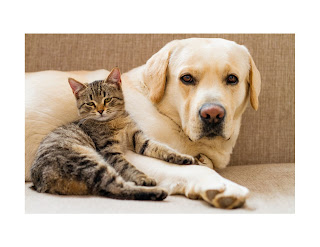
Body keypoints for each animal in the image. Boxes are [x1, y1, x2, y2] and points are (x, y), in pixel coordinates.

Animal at [31, 67, 198, 201]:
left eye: (107, 99)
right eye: (90, 103)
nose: (100, 110)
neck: (116, 122)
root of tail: (40, 182)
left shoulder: (140, 139)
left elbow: (162, 148)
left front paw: (182, 157)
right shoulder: (110, 151)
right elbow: (128, 166)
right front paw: (142, 177)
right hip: (90, 162)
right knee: (115, 188)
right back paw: (157, 192)